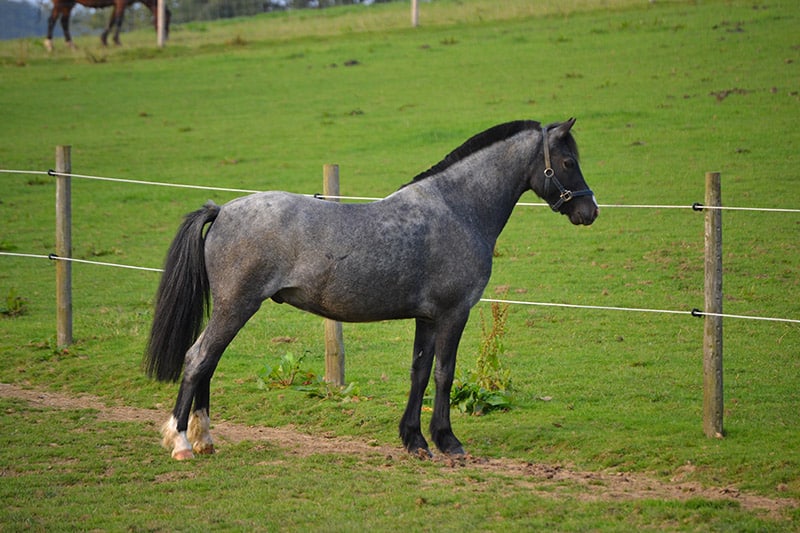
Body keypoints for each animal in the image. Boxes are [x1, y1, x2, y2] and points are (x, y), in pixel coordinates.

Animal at [144, 118, 599, 460]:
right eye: (568, 160)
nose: (589, 210)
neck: (456, 208)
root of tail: (221, 210)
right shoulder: (453, 313)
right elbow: (444, 374)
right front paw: (447, 441)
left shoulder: (427, 318)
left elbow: (419, 373)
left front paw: (414, 440)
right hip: (235, 306)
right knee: (198, 359)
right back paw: (182, 442)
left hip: (231, 309)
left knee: (208, 362)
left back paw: (204, 438)